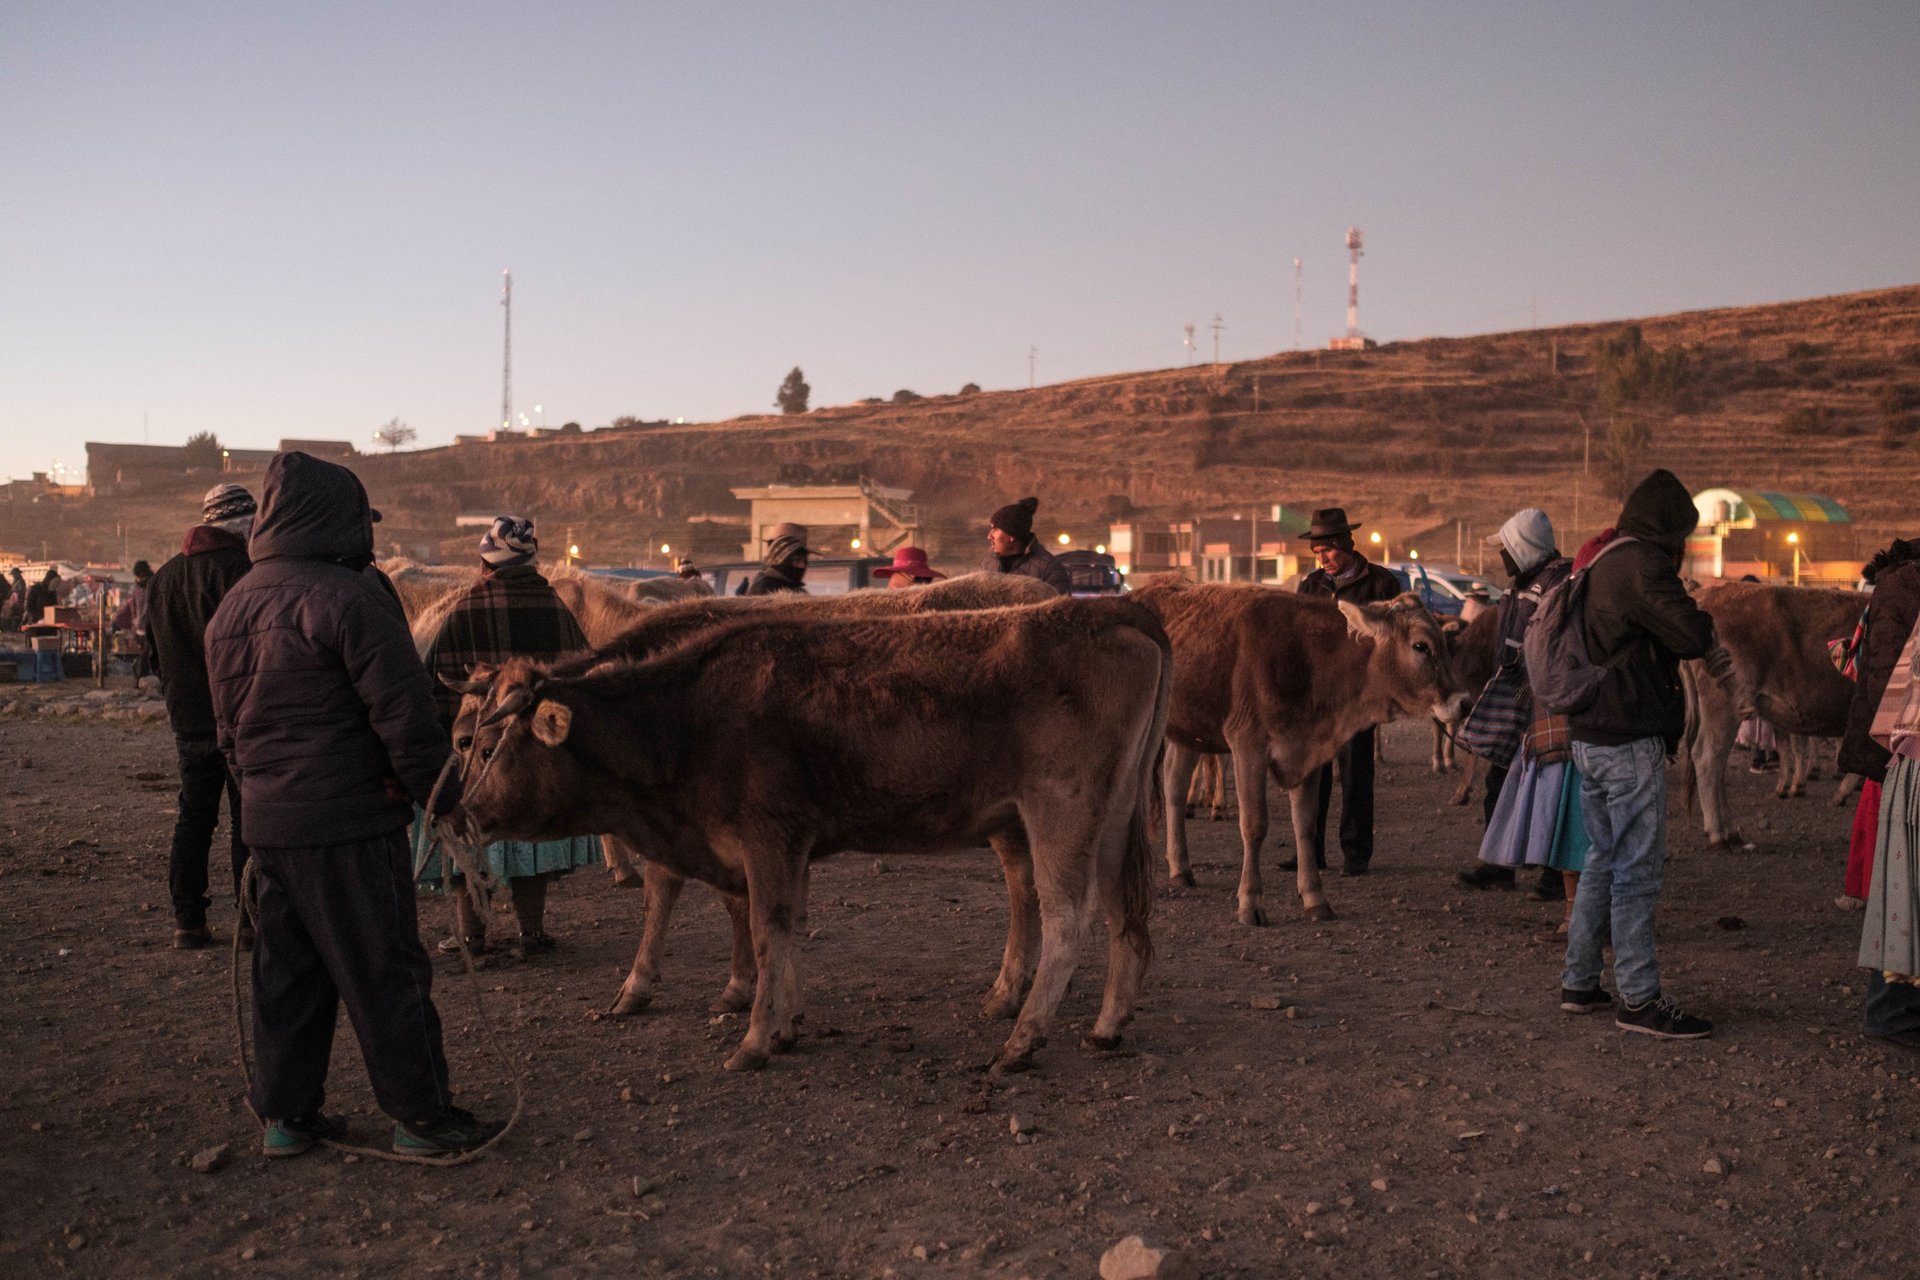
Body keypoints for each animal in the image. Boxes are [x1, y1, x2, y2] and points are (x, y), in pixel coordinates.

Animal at [451, 594, 1167, 1074]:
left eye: (490, 745)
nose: (462, 811)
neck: (684, 717)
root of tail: (1116, 609)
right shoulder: (779, 848)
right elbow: (784, 927)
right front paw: (783, 1023)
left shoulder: (766, 839)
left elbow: (763, 929)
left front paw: (751, 1038)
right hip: (1112, 814)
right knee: (1124, 916)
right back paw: (1105, 1026)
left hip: (1061, 809)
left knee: (1068, 915)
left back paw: (1021, 1041)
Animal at [1128, 587, 1459, 924]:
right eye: (1421, 646)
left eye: (1445, 644)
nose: (1463, 701)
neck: (1310, 659)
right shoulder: (1248, 745)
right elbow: (1254, 825)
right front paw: (1250, 902)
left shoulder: (1308, 750)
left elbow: (1306, 825)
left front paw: (1315, 897)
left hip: (1189, 730)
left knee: (1175, 785)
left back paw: (1180, 867)